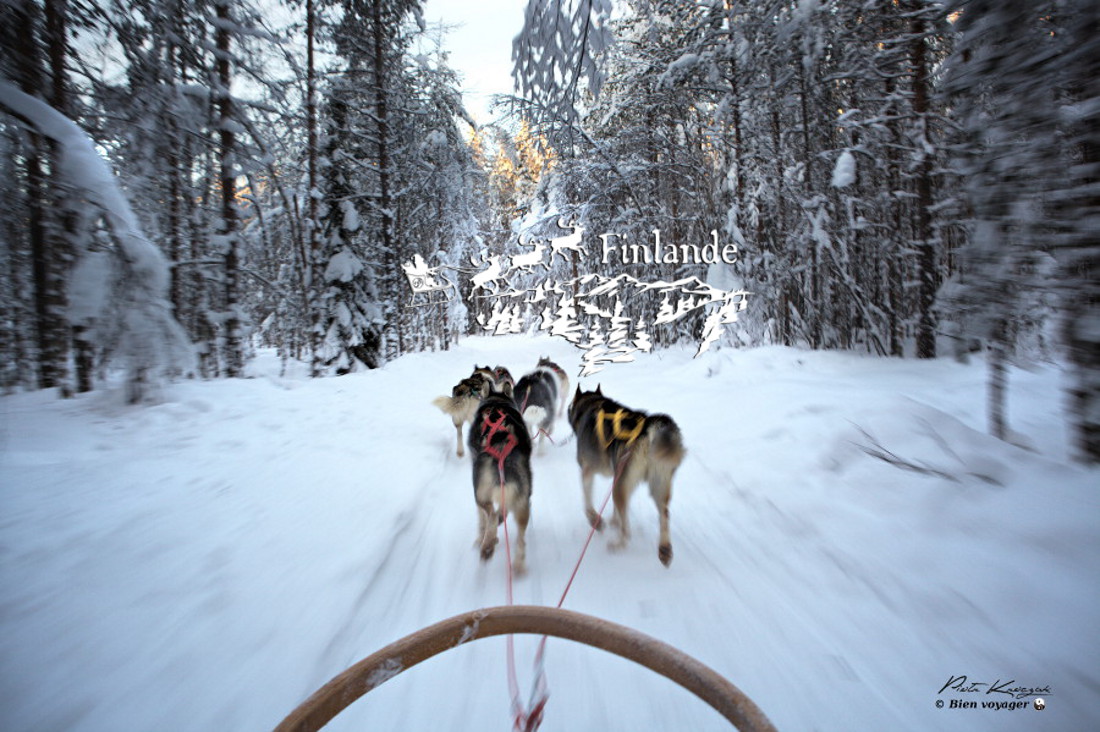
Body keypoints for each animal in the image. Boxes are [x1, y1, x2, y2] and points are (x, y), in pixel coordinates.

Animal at [468, 378, 532, 572]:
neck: (497, 402)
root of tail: (501, 444)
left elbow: (482, 518)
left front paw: (481, 537)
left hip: (480, 492)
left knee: (490, 514)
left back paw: (487, 543)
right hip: (523, 499)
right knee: (520, 538)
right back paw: (517, 566)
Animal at [567, 387, 686, 563]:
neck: (592, 403)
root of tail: (648, 428)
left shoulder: (587, 470)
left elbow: (587, 502)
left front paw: (596, 520)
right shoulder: (616, 475)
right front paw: (613, 521)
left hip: (621, 486)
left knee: (627, 530)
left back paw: (618, 544)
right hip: (656, 482)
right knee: (664, 513)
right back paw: (664, 549)